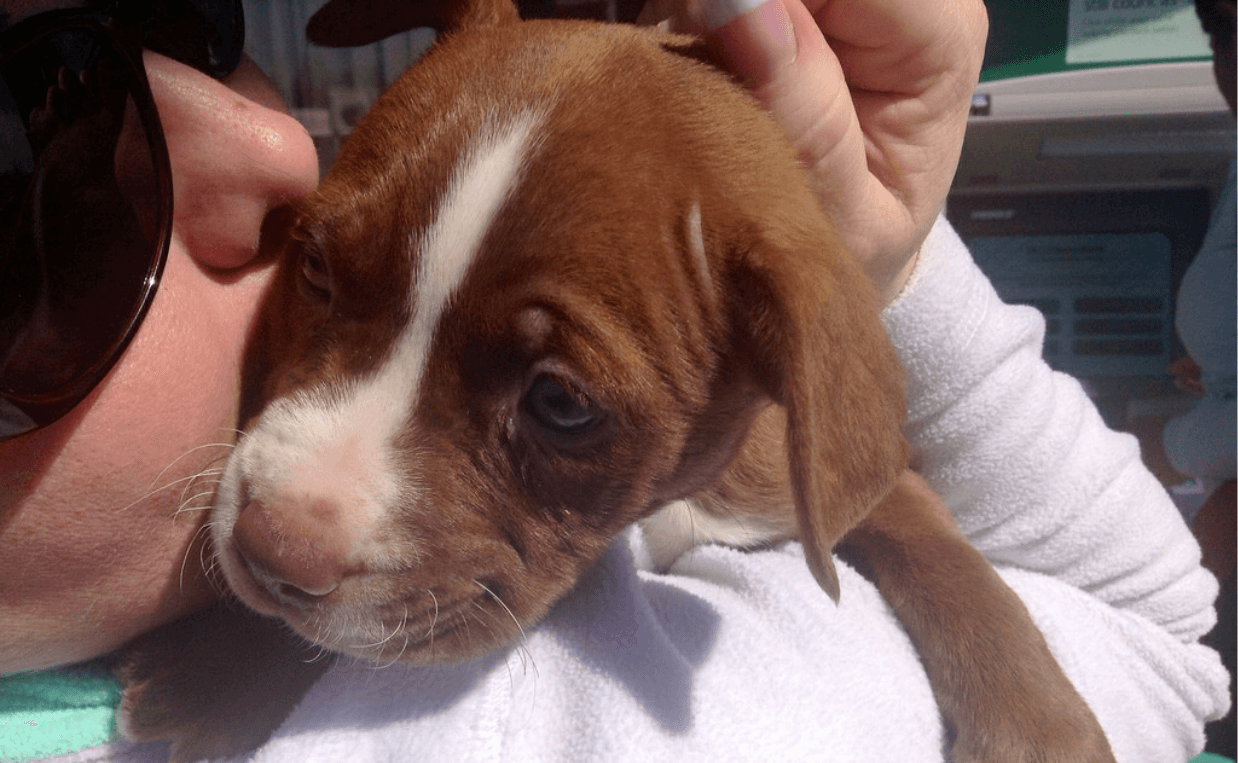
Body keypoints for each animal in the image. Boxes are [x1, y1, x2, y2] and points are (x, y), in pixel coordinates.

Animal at [118, 1, 1114, 763]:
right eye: (317, 269)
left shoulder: (849, 475)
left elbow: (956, 563)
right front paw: (223, 665)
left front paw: (1046, 724)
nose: (271, 552)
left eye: (560, 403)